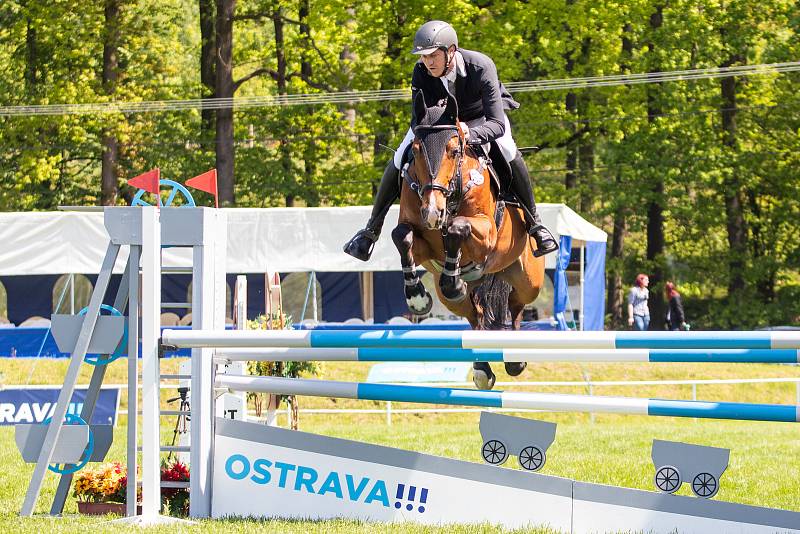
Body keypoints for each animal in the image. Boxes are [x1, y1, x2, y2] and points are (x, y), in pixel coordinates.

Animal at [390, 94, 548, 392]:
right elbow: (402, 236)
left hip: (528, 280)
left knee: (516, 306)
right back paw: (482, 369)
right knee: (476, 317)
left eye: (454, 151)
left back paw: (514, 358)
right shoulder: (422, 240)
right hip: (460, 299)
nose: (432, 211)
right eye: (415, 150)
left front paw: (452, 280)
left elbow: (456, 228)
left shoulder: (486, 235)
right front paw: (418, 298)